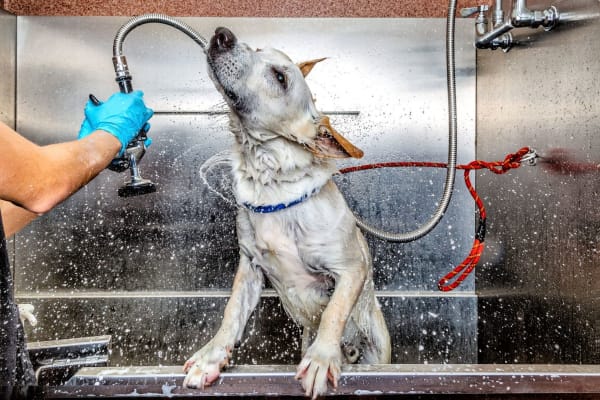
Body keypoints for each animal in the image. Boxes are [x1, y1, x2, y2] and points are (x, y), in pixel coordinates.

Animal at [183, 27, 390, 396]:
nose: (222, 34)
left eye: (280, 77)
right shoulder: (249, 268)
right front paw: (211, 358)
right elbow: (231, 312)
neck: (271, 185)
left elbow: (334, 312)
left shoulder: (351, 270)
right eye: (258, 48)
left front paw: (322, 359)